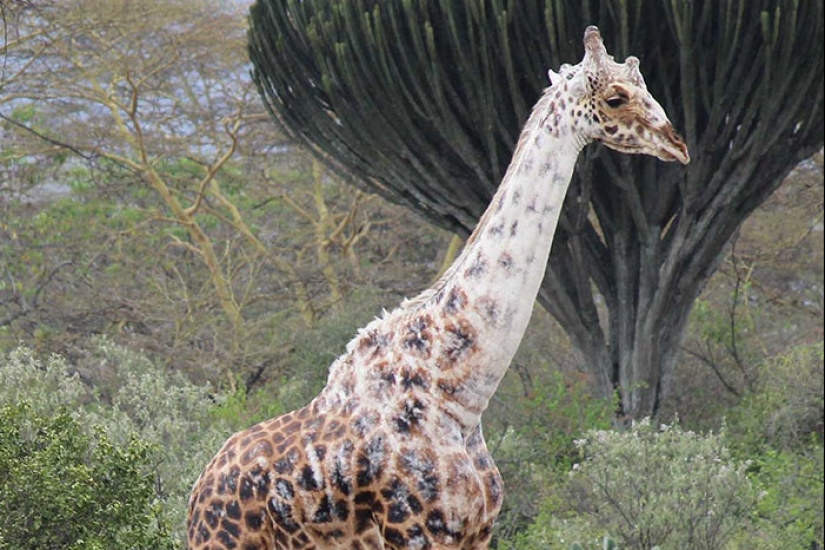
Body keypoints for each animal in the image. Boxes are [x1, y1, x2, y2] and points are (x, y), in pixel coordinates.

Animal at [187, 25, 688, 550]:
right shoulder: (417, 530)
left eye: (645, 83)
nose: (676, 143)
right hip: (222, 542)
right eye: (616, 97)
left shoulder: (478, 530)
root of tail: (198, 491)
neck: (459, 396)